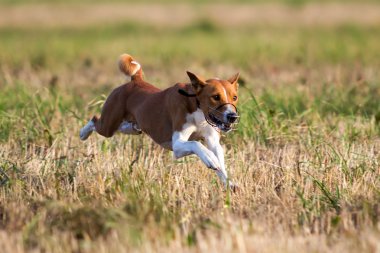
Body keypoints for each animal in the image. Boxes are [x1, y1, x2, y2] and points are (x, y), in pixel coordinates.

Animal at [79, 52, 240, 188]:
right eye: (216, 97)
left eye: (234, 97)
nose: (233, 117)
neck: (196, 107)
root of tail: (135, 80)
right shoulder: (177, 145)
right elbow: (196, 144)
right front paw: (209, 158)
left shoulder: (213, 141)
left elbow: (220, 162)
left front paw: (229, 183)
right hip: (109, 125)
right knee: (94, 120)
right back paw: (83, 133)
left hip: (130, 127)